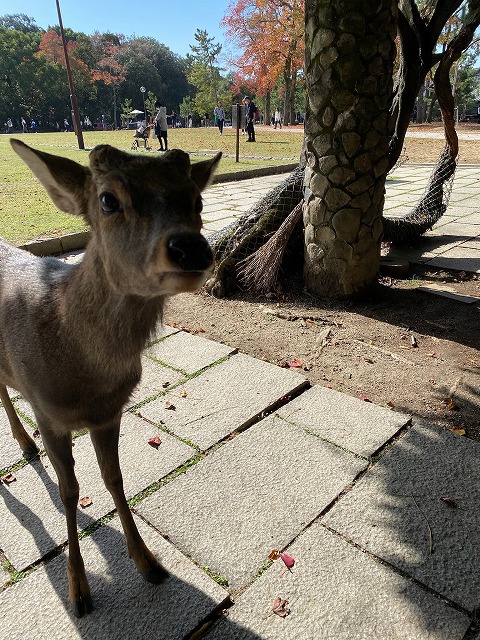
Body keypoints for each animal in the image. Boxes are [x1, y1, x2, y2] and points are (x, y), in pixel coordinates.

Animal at [0, 140, 221, 616]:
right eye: (107, 200)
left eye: (197, 200)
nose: (191, 248)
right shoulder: (47, 411)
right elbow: (69, 491)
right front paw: (79, 591)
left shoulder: (110, 413)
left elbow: (114, 479)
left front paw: (149, 564)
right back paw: (25, 445)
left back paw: (25, 445)